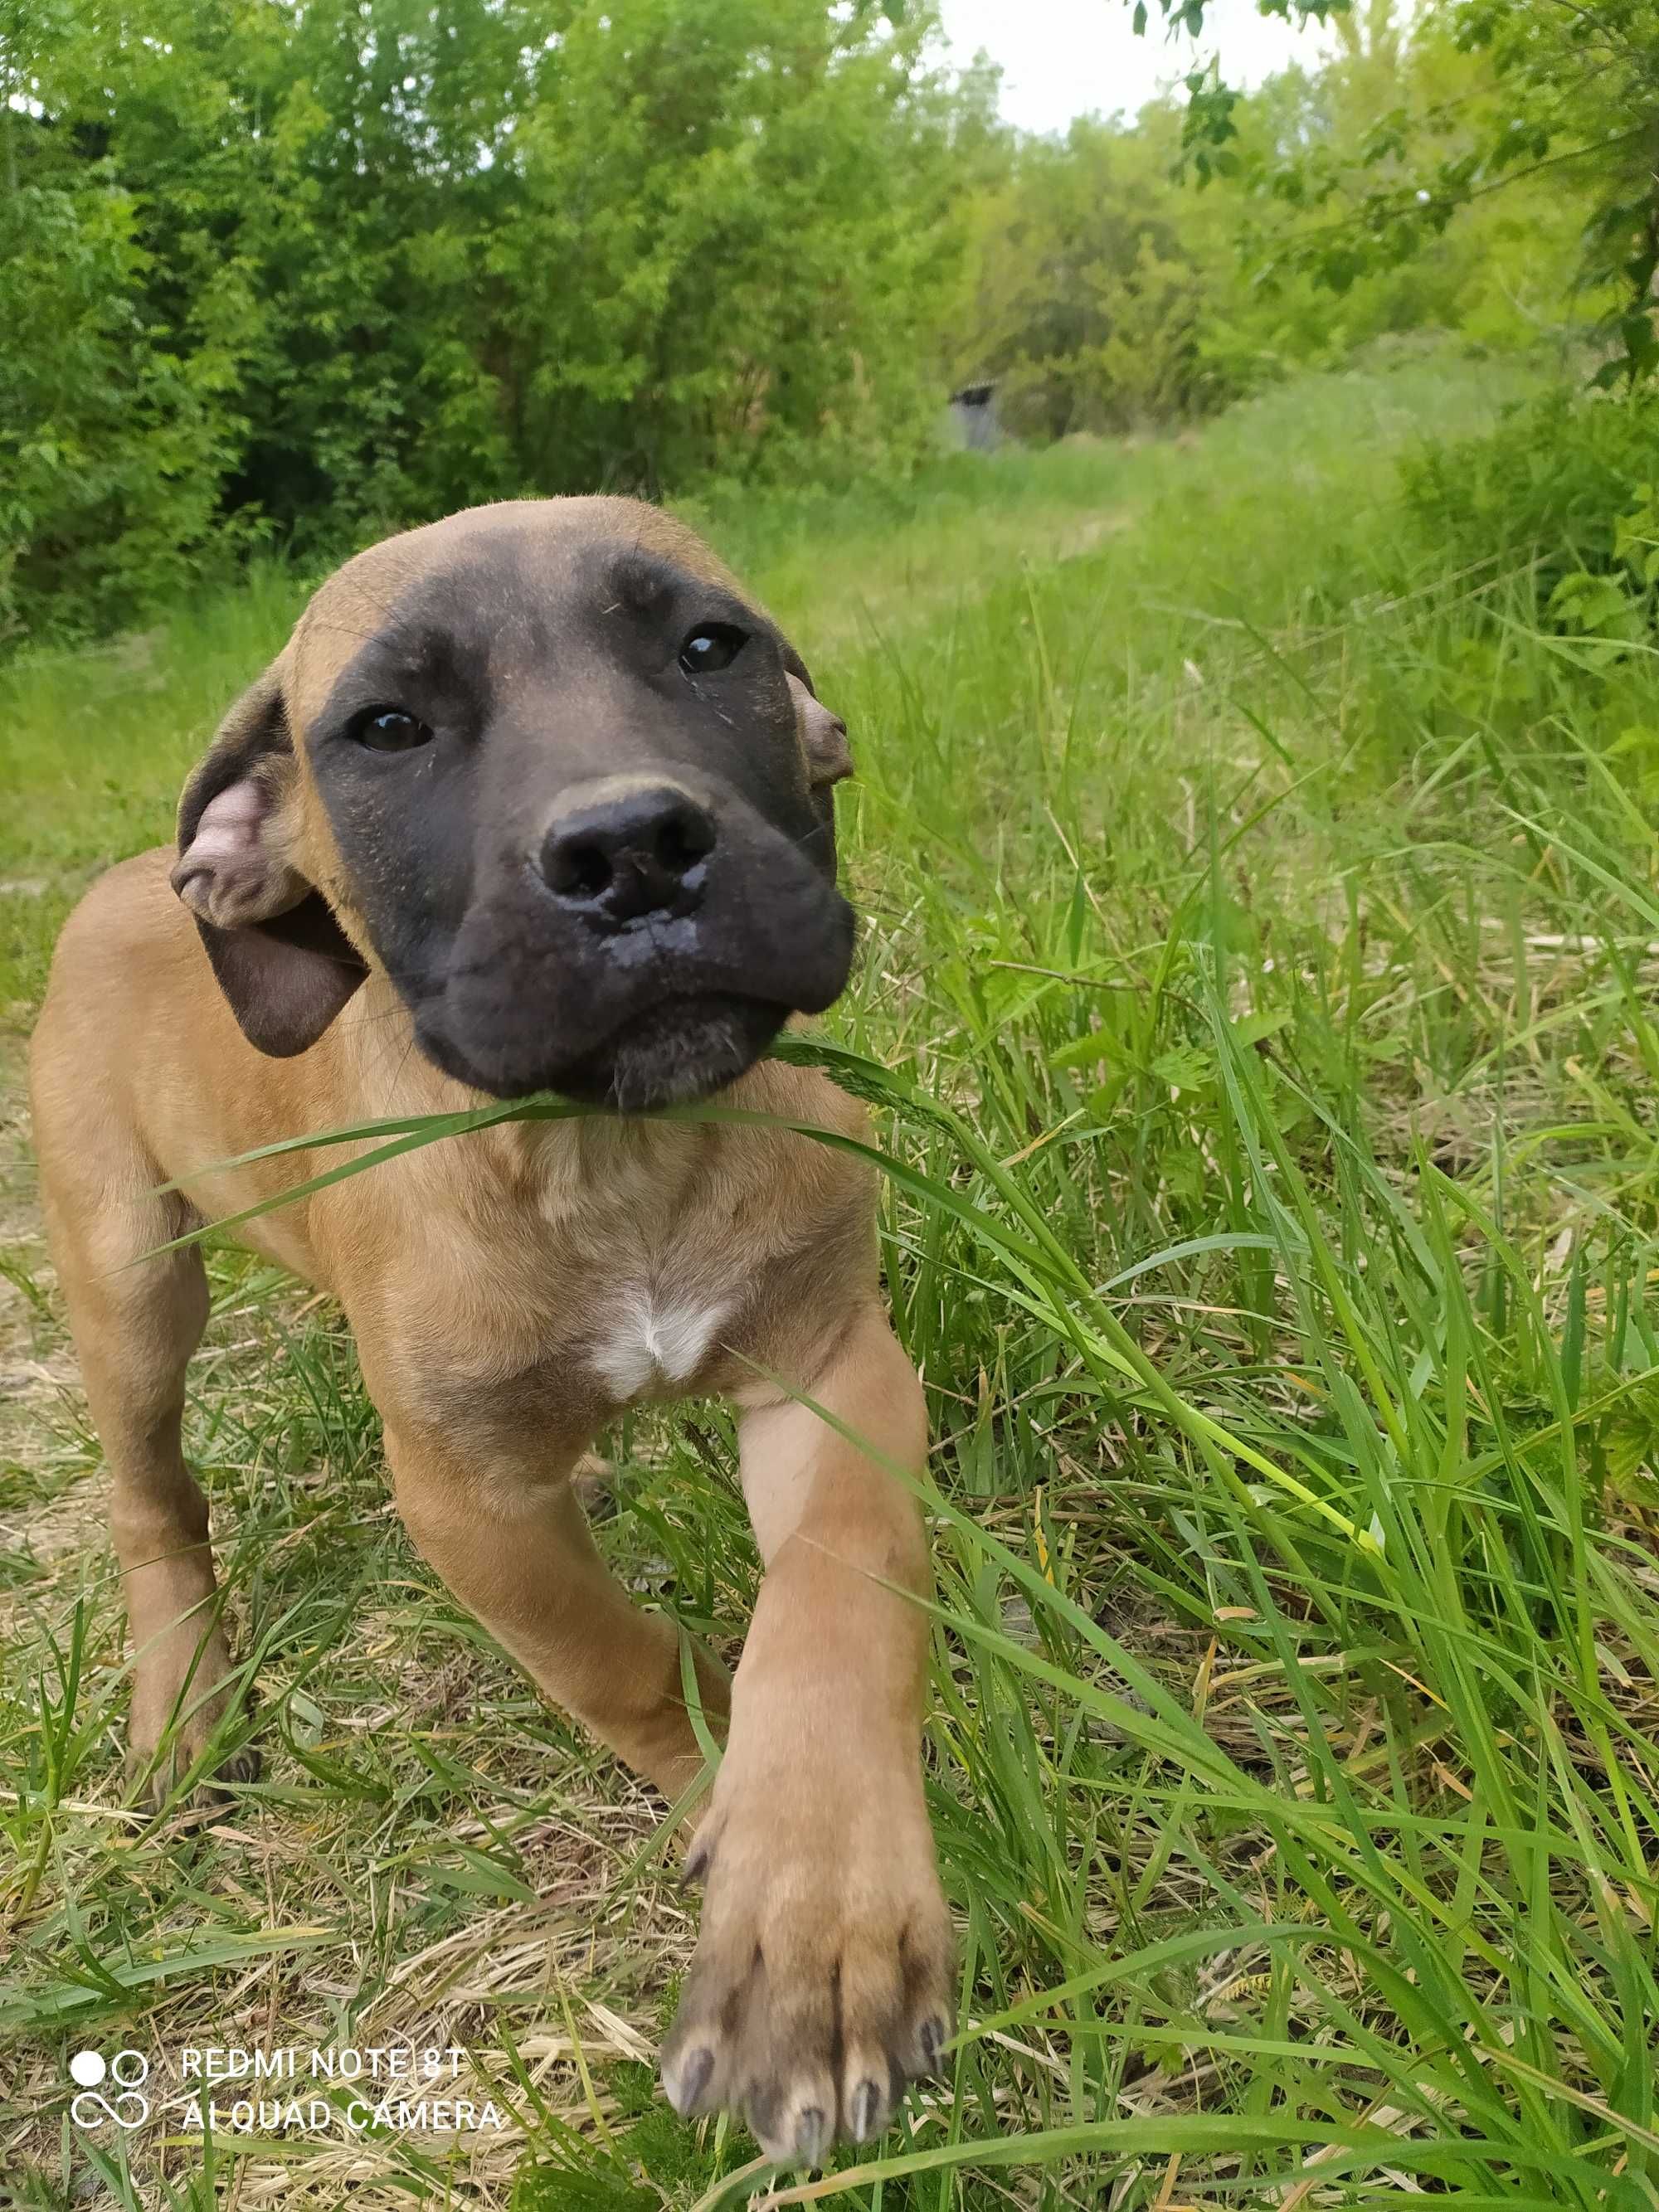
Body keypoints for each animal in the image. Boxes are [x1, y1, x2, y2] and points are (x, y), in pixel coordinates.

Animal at [32, 498, 956, 2158]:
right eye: (388, 728)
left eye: (709, 644)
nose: (633, 848)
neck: (606, 1150)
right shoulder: (468, 1495)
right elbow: (618, 1660)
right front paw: (712, 1788)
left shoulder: (830, 1362)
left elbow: (836, 1597)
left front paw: (817, 1907)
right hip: (128, 1279)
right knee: (155, 1497)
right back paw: (183, 1699)